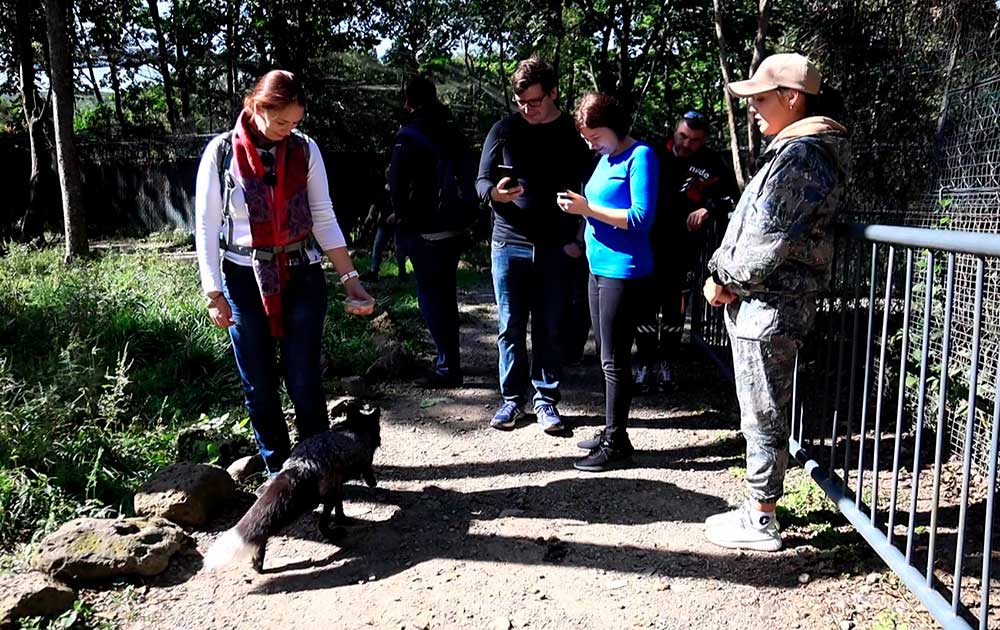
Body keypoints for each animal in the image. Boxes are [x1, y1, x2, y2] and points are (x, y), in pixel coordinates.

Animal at [203, 407, 381, 572]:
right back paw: (335, 534)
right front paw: (371, 484)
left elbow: (340, 507)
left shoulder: (337, 487)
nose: (380, 440)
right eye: (378, 429)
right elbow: (366, 472)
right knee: (321, 525)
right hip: (305, 503)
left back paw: (257, 564)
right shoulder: (362, 464)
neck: (355, 429)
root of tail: (300, 464)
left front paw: (342, 518)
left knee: (262, 533)